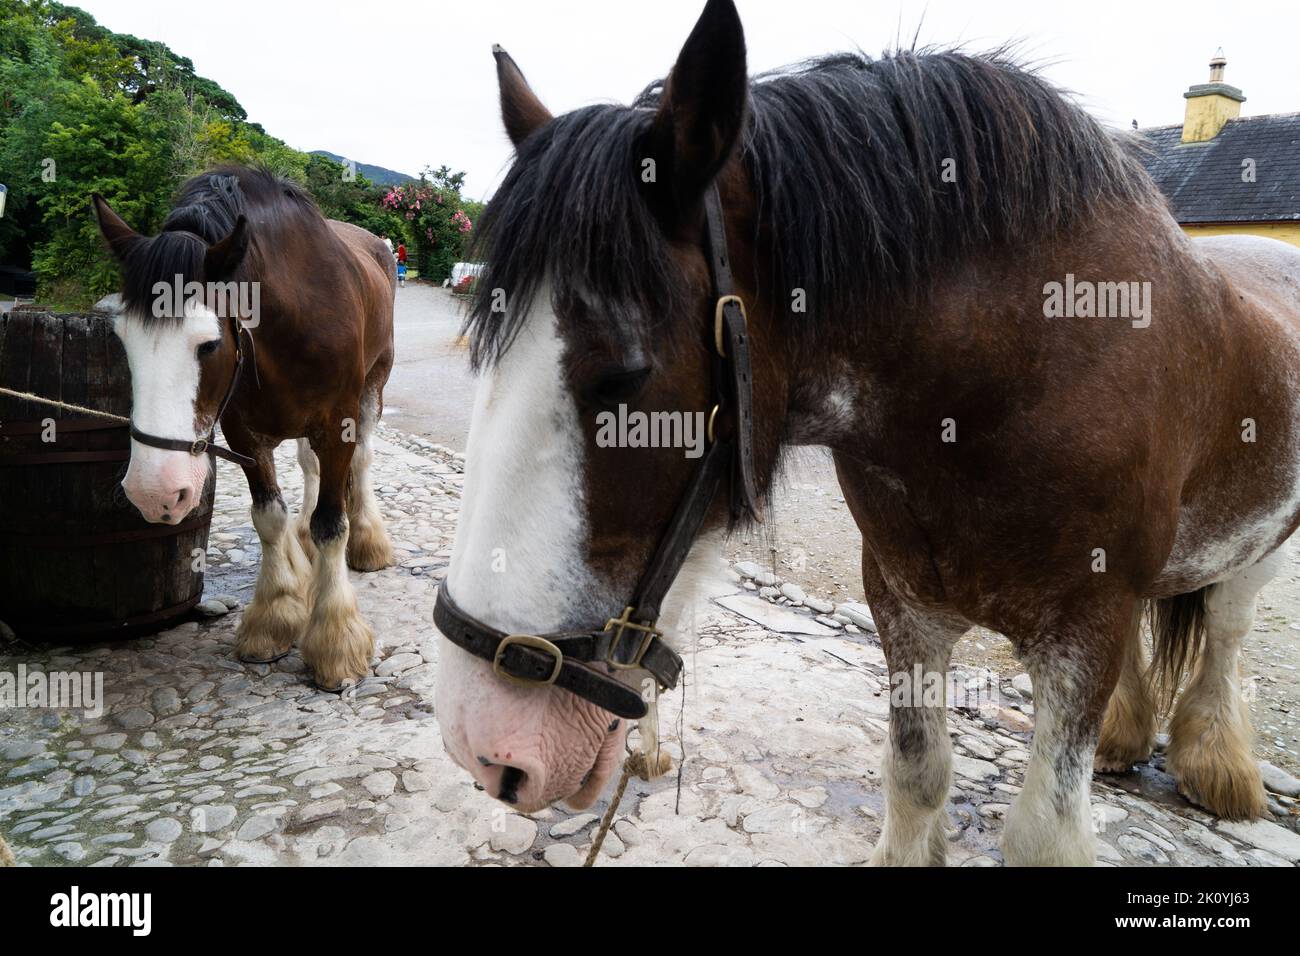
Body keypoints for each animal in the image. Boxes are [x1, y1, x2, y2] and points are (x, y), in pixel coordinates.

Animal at [94, 167, 392, 691]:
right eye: (122, 340)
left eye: (209, 344)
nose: (154, 492)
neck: (293, 319)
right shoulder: (244, 433)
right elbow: (269, 517)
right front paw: (274, 615)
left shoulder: (338, 422)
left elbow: (332, 524)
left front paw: (335, 641)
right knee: (308, 466)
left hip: (375, 384)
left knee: (363, 460)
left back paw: (368, 537)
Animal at [434, 0, 1300, 863]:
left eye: (624, 375)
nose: (480, 742)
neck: (1014, 378)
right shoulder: (905, 605)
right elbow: (916, 778)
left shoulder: (1084, 632)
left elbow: (1042, 834)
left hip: (1257, 549)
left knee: (1226, 633)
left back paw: (1219, 765)